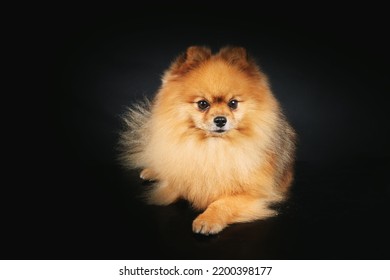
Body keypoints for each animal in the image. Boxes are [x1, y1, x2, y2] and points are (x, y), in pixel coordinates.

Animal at [119, 47, 296, 235]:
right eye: (203, 104)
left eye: (233, 103)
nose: (220, 120)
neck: (213, 148)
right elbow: (177, 180)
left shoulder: (254, 193)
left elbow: (223, 203)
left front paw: (207, 219)